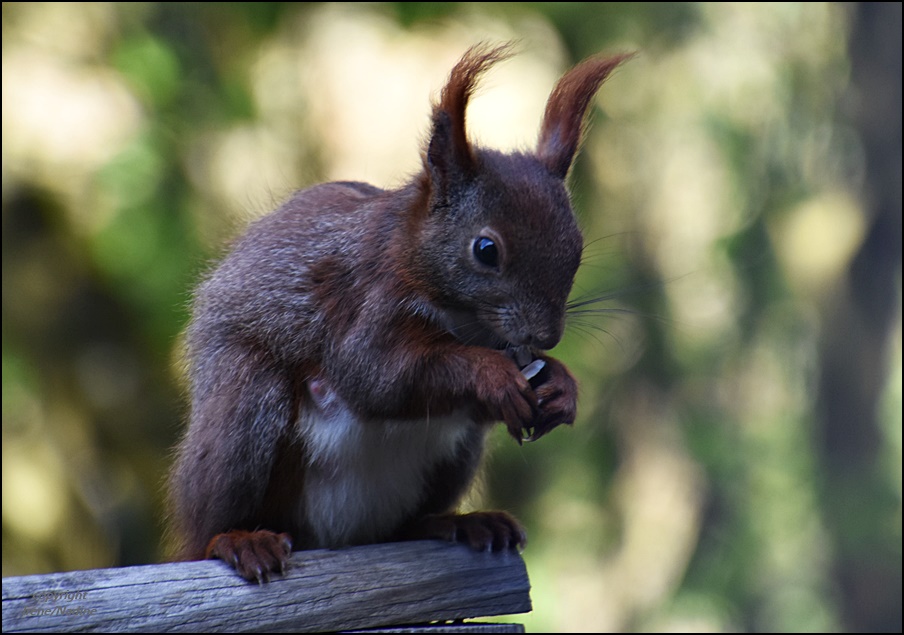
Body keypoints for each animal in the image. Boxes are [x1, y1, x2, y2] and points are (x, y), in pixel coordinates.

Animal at [168, 43, 628, 580]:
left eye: (576, 247)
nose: (547, 335)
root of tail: (335, 536)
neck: (464, 319)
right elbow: (377, 376)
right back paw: (239, 540)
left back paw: (461, 523)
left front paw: (560, 385)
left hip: (454, 459)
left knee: (407, 524)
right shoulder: (368, 302)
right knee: (210, 526)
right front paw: (491, 375)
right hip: (245, 409)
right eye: (486, 249)